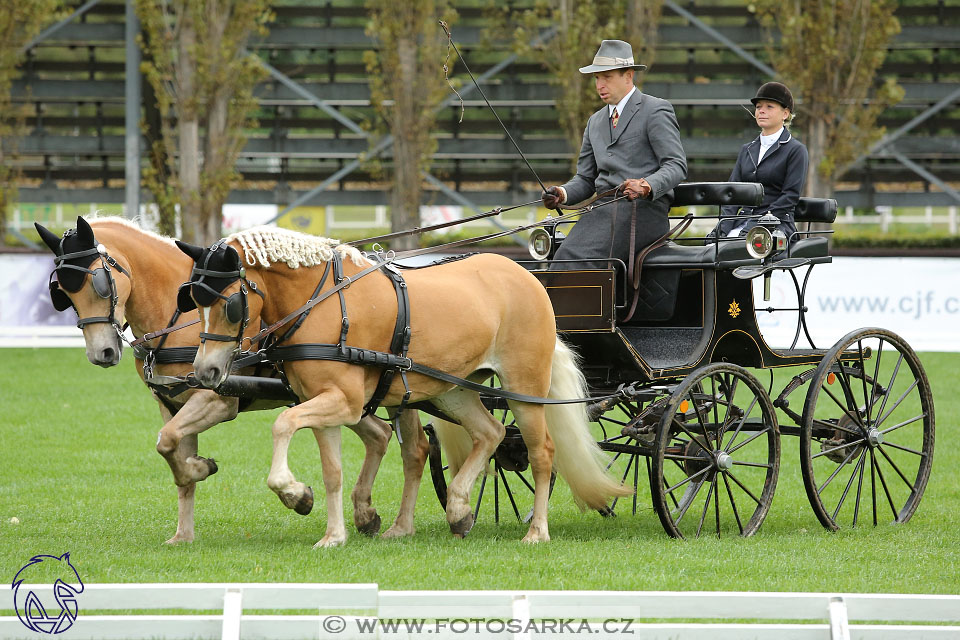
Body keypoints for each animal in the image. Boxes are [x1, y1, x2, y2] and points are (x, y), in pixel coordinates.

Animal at [33, 216, 394, 544]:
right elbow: (172, 451)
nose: (102, 352)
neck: (178, 314)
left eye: (99, 283)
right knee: (380, 434)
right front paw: (184, 531)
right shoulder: (172, 403)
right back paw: (366, 514)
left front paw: (204, 468)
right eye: (62, 292)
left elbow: (167, 440)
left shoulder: (215, 399)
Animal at [178, 228, 632, 544]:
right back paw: (459, 508)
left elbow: (282, 425)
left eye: (228, 303)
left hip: (525, 389)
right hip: (456, 389)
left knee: (541, 454)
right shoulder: (321, 402)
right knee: (491, 433)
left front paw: (293, 493)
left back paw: (536, 530)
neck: (321, 303)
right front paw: (333, 534)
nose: (205, 372)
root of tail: (525, 275)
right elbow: (332, 472)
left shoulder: (345, 402)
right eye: (192, 300)